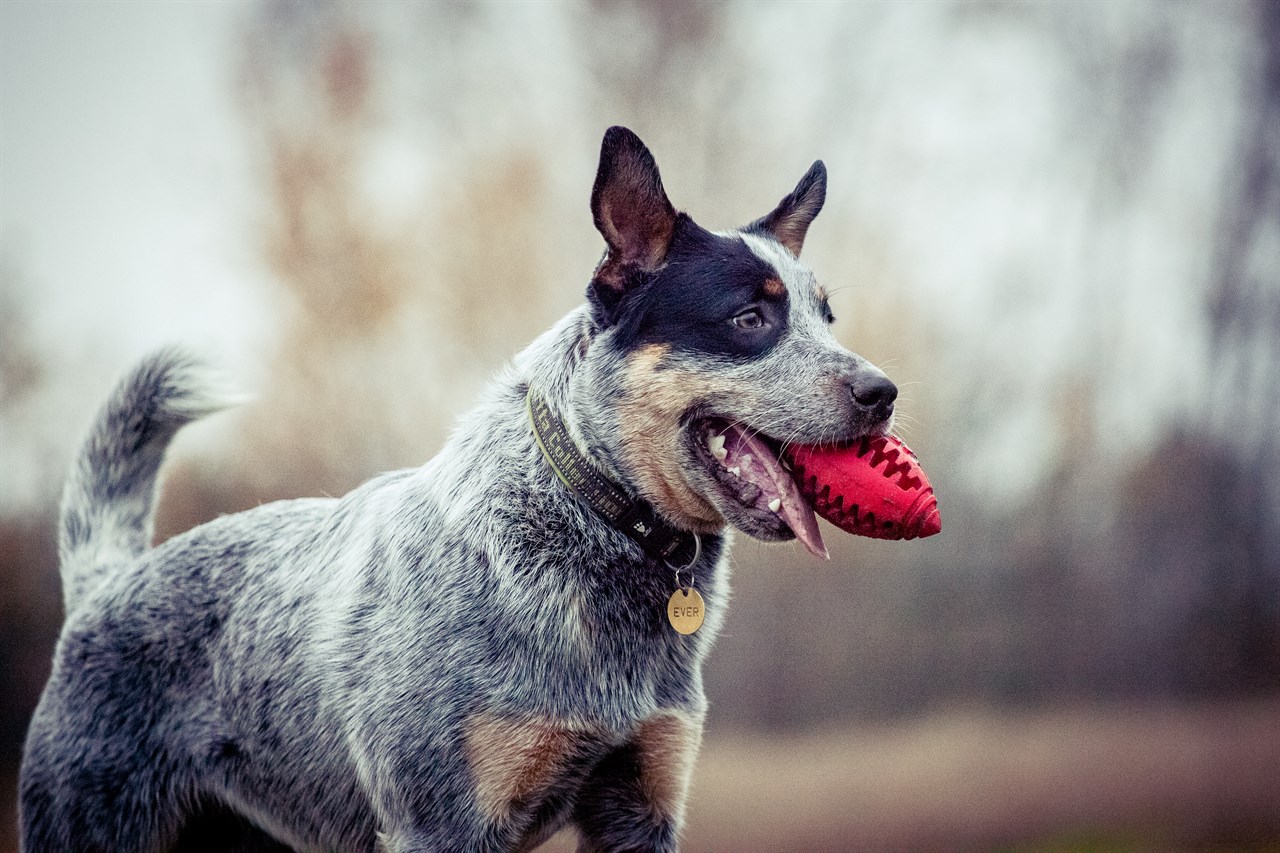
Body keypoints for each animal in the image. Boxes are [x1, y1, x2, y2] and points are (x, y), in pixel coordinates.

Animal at [22, 126, 901, 850]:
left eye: (826, 317)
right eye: (751, 317)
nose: (884, 391)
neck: (591, 522)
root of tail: (107, 585)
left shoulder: (643, 800)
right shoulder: (440, 820)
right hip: (89, 819)